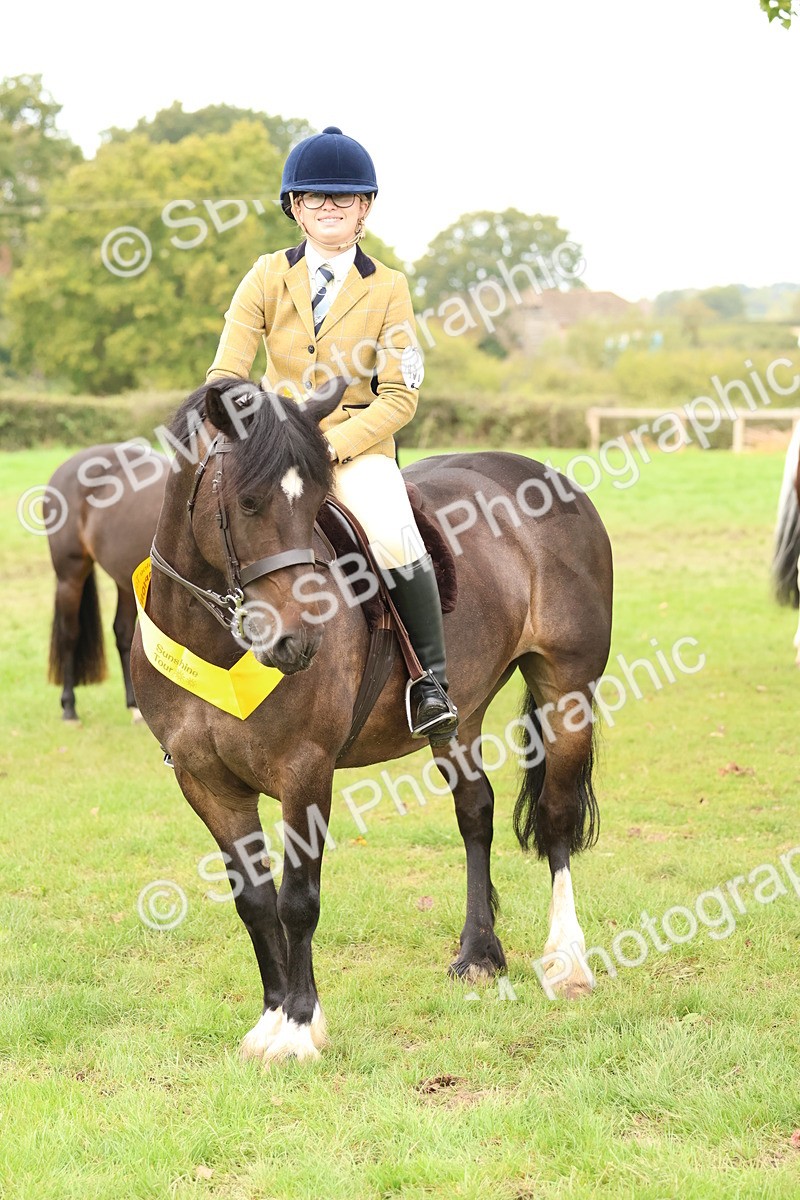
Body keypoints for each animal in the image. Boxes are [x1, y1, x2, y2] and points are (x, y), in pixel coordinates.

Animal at [46, 442, 168, 721]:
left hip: (126, 581)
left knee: (122, 632)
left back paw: (135, 706)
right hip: (69, 576)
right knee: (70, 634)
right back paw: (69, 708)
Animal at [130, 376, 614, 1063]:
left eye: (314, 504)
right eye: (248, 503)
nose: (296, 643)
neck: (214, 639)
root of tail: (546, 475)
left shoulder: (305, 771)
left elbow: (297, 900)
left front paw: (299, 1027)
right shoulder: (205, 782)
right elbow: (255, 901)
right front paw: (269, 1020)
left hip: (567, 688)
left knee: (556, 818)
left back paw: (568, 962)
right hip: (461, 715)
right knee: (476, 811)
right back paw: (478, 954)